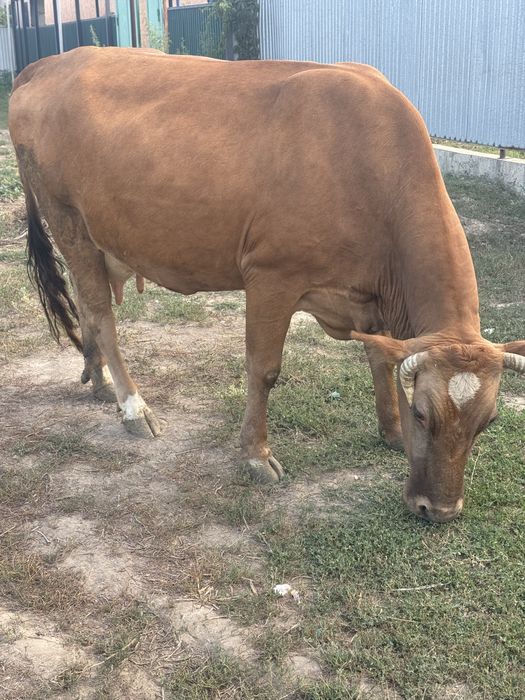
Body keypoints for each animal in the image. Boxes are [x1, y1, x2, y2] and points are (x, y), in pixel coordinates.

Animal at [9, 47, 524, 523]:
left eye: (488, 421)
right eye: (423, 413)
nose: (440, 510)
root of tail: (49, 63)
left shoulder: (368, 299)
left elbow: (382, 360)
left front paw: (391, 433)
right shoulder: (272, 276)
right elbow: (264, 370)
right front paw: (256, 456)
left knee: (84, 300)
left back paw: (96, 378)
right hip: (68, 220)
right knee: (100, 314)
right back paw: (134, 407)